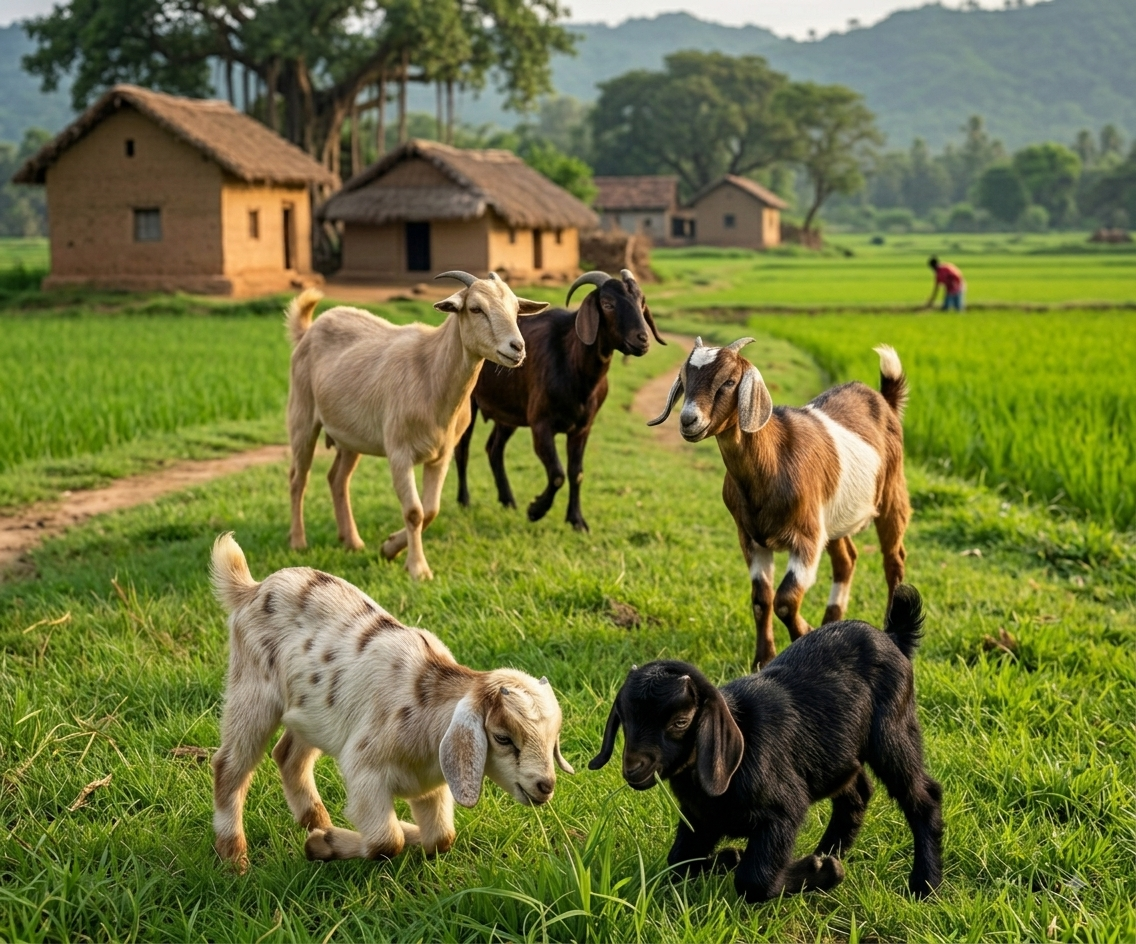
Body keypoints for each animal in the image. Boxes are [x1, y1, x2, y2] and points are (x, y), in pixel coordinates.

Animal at [209, 533, 574, 872]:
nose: (546, 785)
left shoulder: (431, 785)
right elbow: (387, 841)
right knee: (229, 765)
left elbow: (441, 839)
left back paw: (317, 823)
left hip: (312, 716)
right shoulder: (364, 771)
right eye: (502, 737)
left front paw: (328, 838)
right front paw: (322, 847)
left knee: (288, 756)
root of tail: (252, 589)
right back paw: (235, 859)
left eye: (553, 737)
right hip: (252, 693)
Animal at [286, 272, 548, 580]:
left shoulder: (441, 455)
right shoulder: (399, 452)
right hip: (302, 417)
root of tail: (309, 330)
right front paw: (417, 569)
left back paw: (352, 541)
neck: (431, 372)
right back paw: (298, 542)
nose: (517, 348)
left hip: (349, 436)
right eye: (475, 309)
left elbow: (431, 510)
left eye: (517, 309)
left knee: (337, 478)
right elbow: (414, 511)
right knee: (298, 478)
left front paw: (389, 548)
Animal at [454, 269, 664, 532]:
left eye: (641, 302)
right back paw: (464, 501)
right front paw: (536, 510)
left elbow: (576, 473)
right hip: (467, 404)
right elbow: (557, 473)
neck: (574, 368)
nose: (642, 339)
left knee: (494, 448)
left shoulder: (582, 428)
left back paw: (508, 501)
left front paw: (577, 521)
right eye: (608, 304)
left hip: (508, 414)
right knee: (462, 449)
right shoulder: (541, 424)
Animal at [589, 584, 943, 902]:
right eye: (625, 719)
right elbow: (678, 862)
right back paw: (829, 852)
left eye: (680, 722)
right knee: (856, 794)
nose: (634, 767)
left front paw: (821, 873)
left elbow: (753, 879)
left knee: (923, 796)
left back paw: (924, 885)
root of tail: (892, 637)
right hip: (838, 754)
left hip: (892, 733)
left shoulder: (782, 812)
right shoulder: (700, 818)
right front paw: (728, 858)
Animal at [649, 338, 910, 669]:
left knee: (893, 560)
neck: (772, 463)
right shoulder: (751, 538)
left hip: (892, 491)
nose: (688, 420)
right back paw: (831, 622)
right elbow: (762, 599)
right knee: (846, 559)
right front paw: (763, 658)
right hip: (833, 517)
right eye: (684, 379)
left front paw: (805, 633)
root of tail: (884, 400)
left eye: (729, 381)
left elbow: (785, 600)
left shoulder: (807, 537)